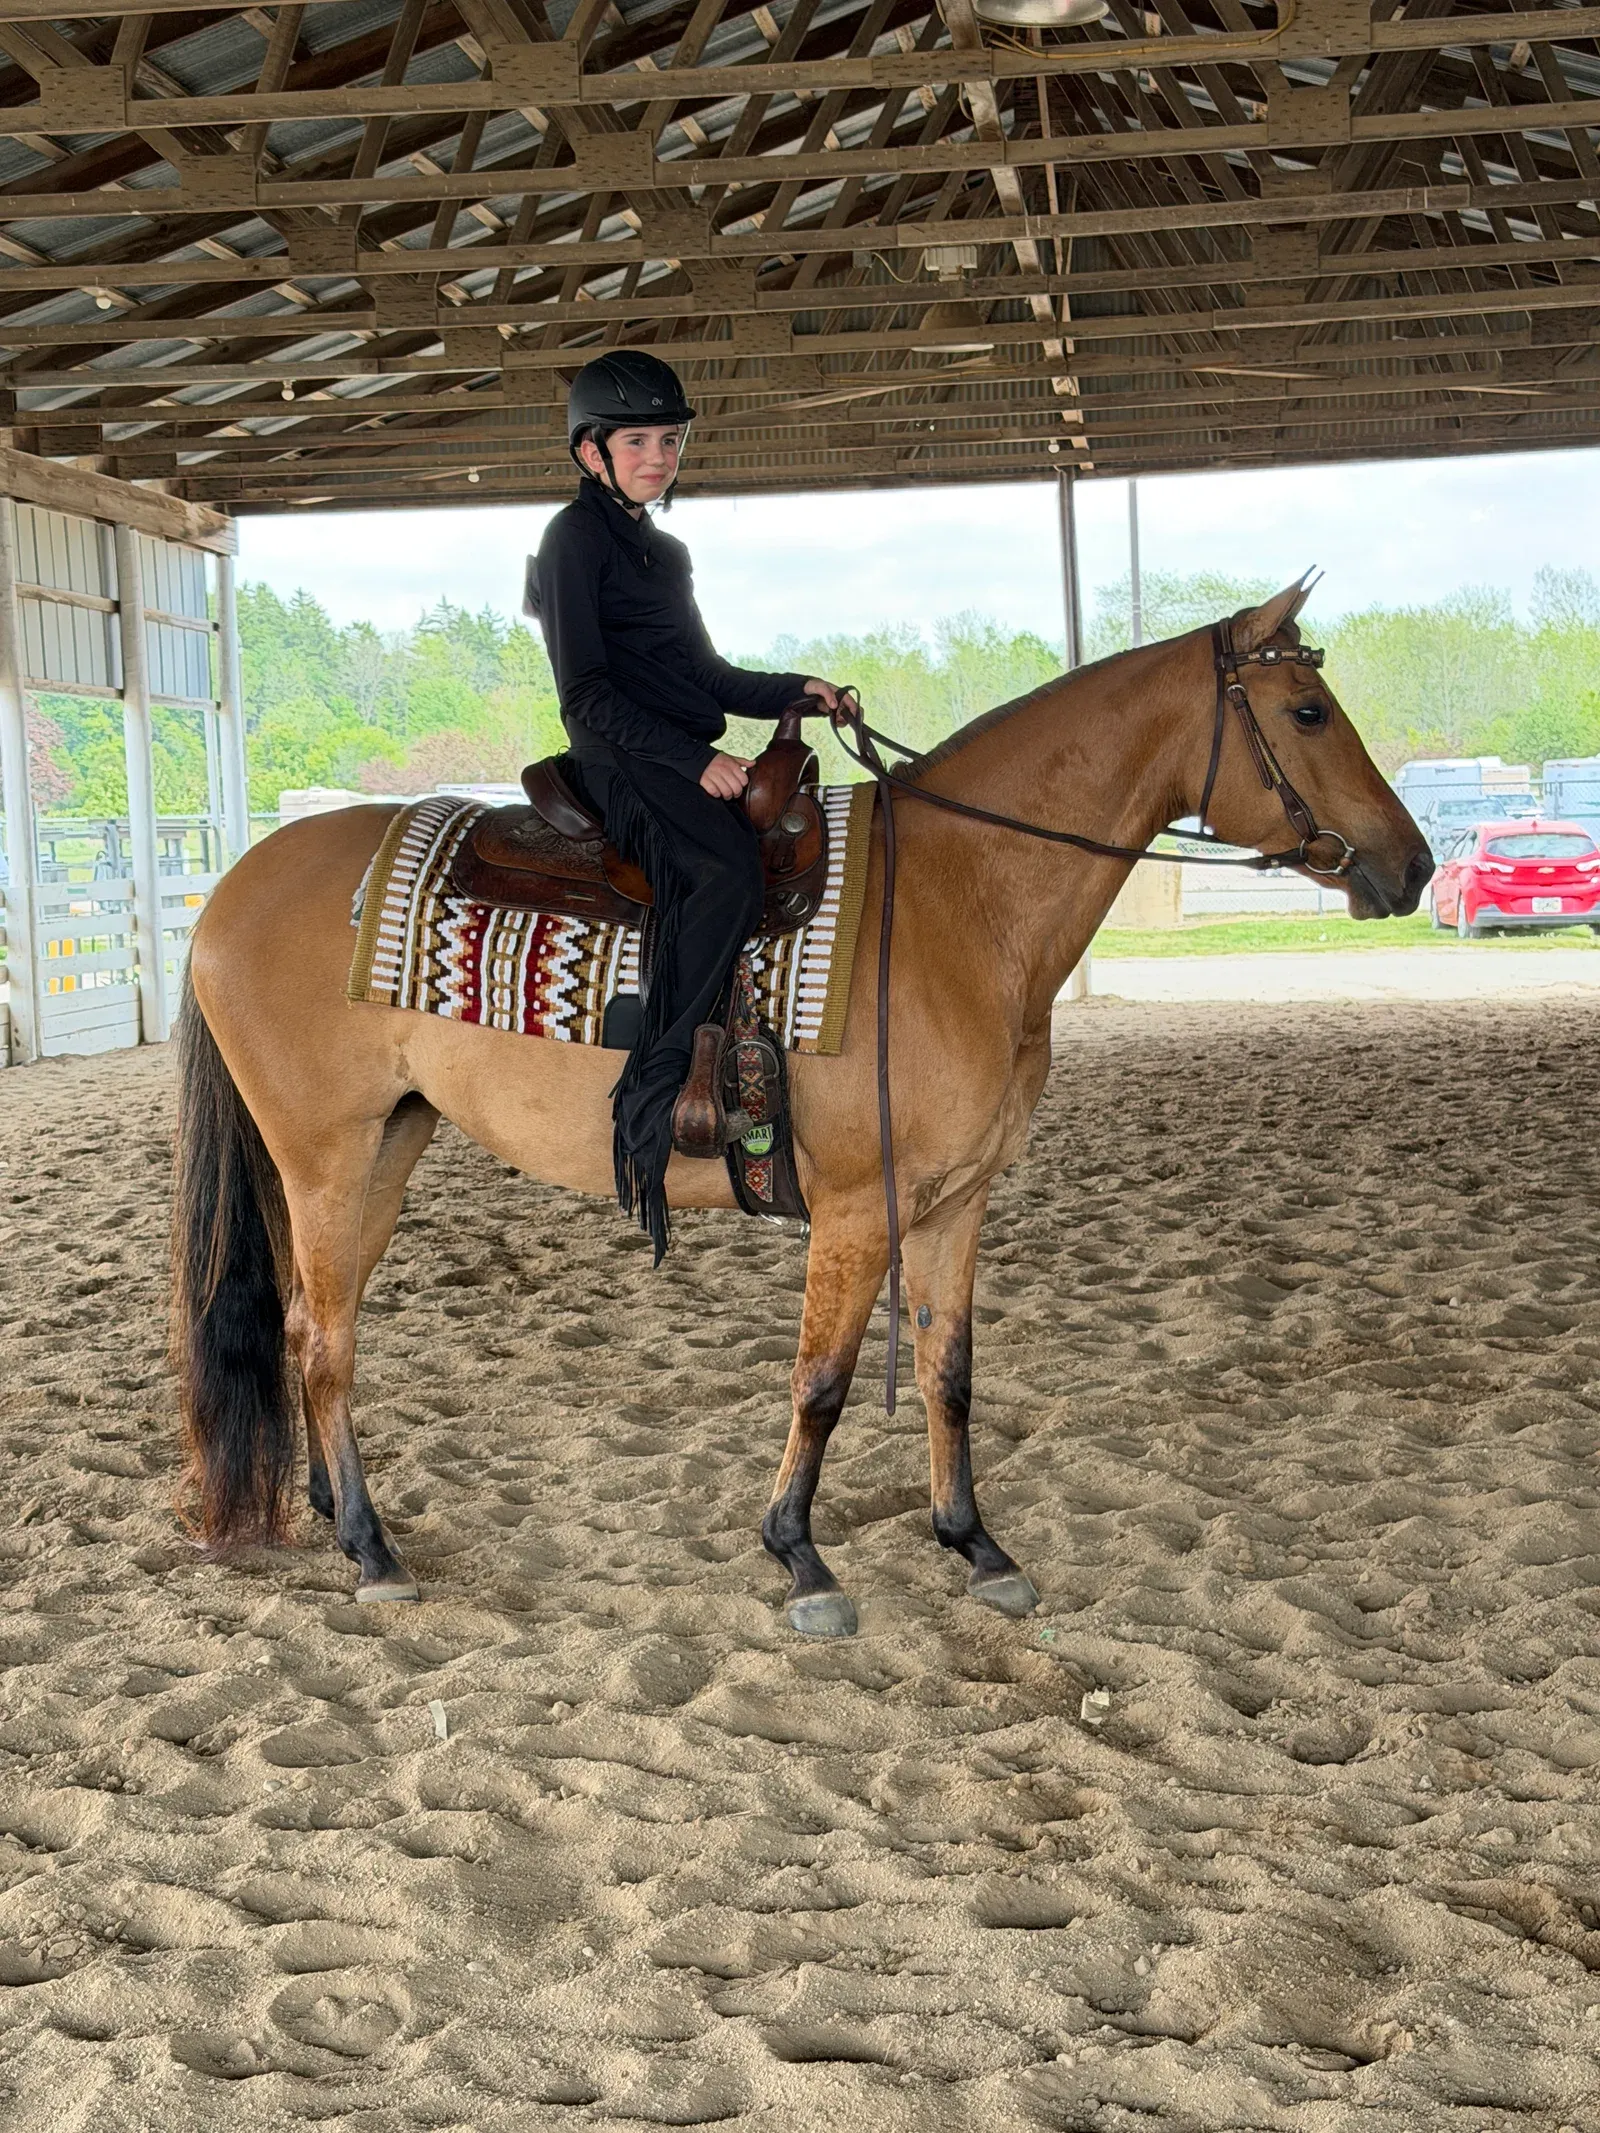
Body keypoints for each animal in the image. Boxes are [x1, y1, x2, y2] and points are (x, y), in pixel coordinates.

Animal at [171, 579, 1431, 1635]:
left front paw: (974, 1544)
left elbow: (947, 1370)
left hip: (388, 1143)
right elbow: (820, 1382)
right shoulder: (862, 1210)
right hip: (325, 1155)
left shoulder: (955, 1204)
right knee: (322, 1337)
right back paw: (371, 1548)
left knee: (314, 1323)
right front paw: (800, 1558)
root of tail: (228, 888)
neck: (958, 899)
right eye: (1308, 710)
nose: (1411, 865)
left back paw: (334, 1514)